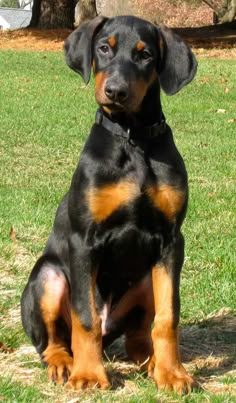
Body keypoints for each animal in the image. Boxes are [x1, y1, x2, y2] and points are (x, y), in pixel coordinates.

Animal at [20, 15, 197, 394]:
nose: (116, 91)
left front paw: (173, 373)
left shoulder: (171, 240)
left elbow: (168, 316)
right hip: (49, 276)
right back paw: (64, 364)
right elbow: (84, 317)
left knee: (137, 337)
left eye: (145, 55)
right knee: (54, 340)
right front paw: (88, 375)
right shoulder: (84, 240)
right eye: (104, 48)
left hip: (146, 278)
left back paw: (152, 363)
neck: (132, 139)